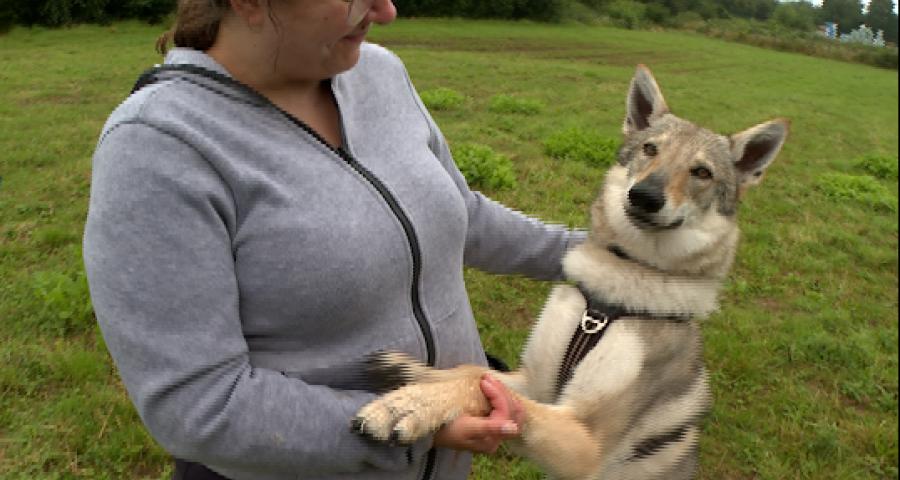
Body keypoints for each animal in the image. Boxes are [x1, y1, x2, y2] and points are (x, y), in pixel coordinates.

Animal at [352, 64, 788, 480]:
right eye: (650, 149)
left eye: (702, 173)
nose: (644, 196)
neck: (608, 300)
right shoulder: (536, 381)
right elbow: (471, 373)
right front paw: (410, 377)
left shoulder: (584, 441)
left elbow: (486, 389)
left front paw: (410, 405)